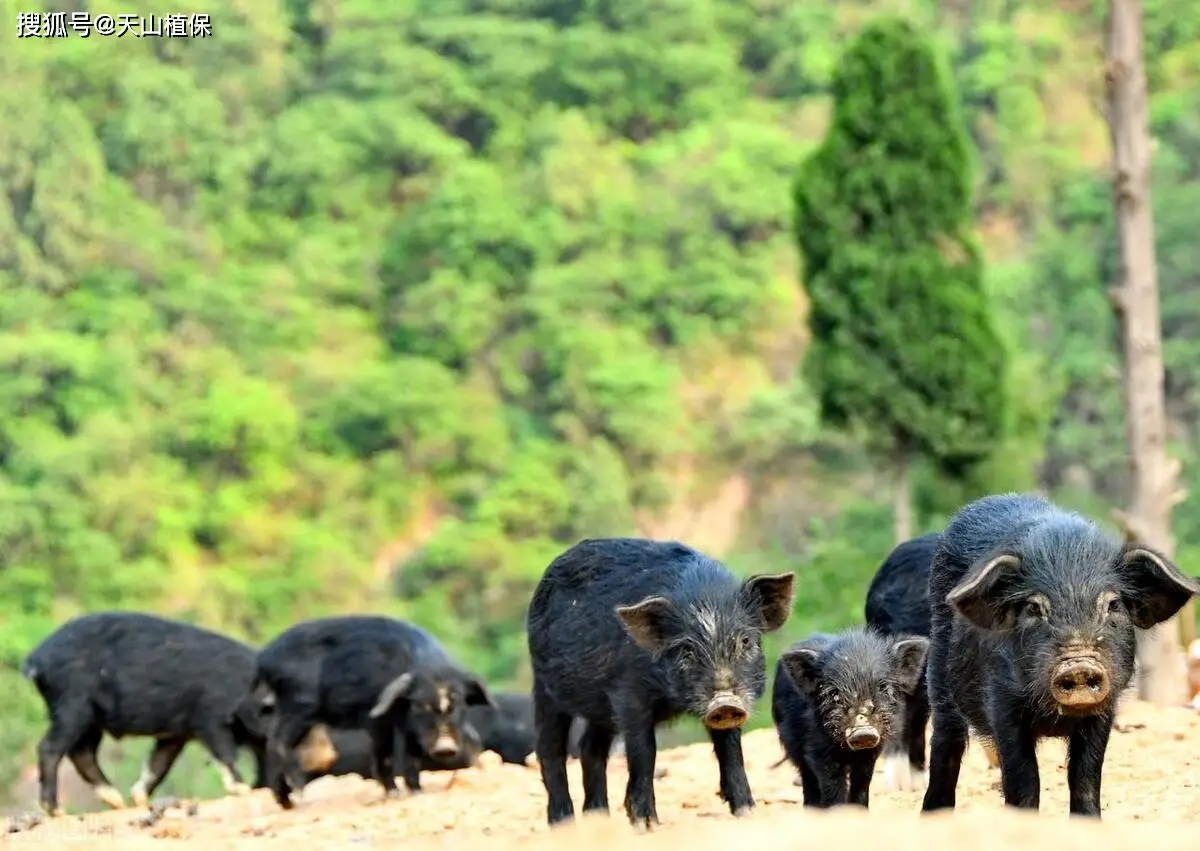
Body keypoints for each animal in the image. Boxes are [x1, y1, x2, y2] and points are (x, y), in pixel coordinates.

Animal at [528, 537, 796, 830]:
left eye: (746, 641)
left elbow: (731, 750)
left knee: (590, 748)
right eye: (686, 650)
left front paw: (747, 812)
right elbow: (645, 752)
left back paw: (599, 818)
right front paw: (647, 825)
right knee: (550, 749)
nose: (724, 702)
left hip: (598, 708)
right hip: (543, 686)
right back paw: (562, 823)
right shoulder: (628, 695)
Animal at [772, 628, 931, 806]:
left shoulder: (870, 752)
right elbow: (832, 782)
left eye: (883, 687)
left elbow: (862, 782)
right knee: (808, 779)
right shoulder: (816, 747)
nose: (863, 731)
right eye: (833, 692)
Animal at [921, 492, 1195, 816]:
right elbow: (1024, 778)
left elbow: (1087, 776)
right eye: (1033, 608)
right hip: (939, 677)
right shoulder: (1001, 701)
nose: (1078, 665)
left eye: (1113, 605)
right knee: (946, 742)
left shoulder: (1104, 711)